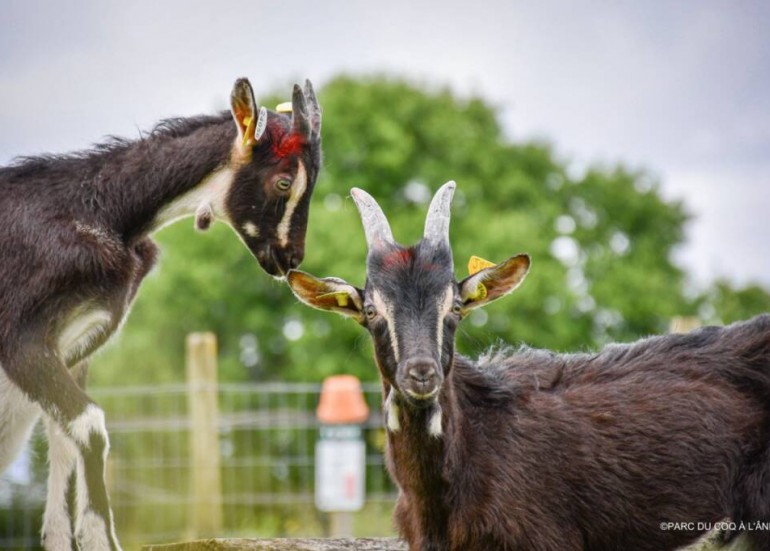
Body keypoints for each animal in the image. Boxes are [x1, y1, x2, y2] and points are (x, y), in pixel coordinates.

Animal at [0, 78, 320, 551]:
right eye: (284, 182)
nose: (290, 259)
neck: (104, 214)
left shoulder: (75, 347)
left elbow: (61, 437)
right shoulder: (20, 338)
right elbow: (89, 425)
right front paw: (102, 537)